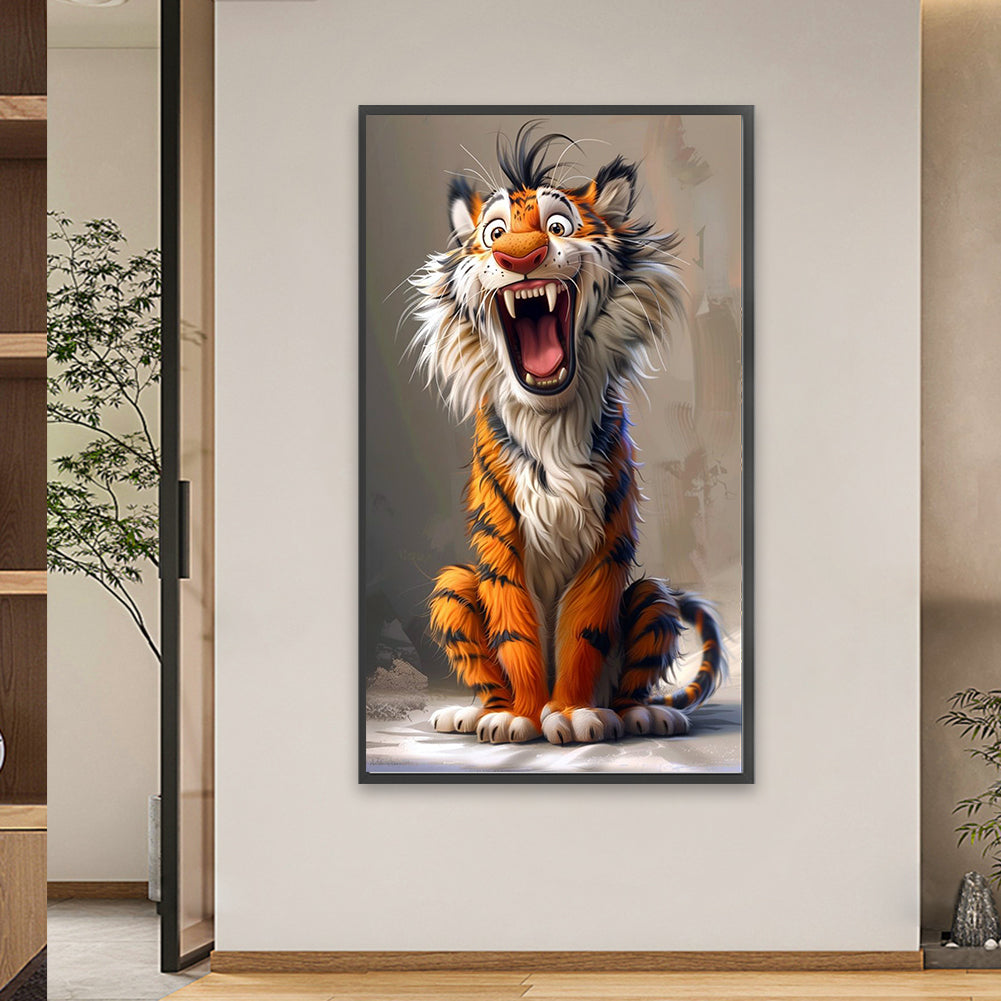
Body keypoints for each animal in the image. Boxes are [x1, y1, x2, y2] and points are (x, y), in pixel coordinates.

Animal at [406, 123, 728, 745]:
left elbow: (582, 632)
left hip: (653, 598)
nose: (520, 255)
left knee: (635, 670)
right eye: (494, 233)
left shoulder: (608, 539)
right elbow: (517, 633)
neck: (549, 418)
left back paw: (642, 715)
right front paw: (520, 717)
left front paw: (575, 714)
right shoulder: (501, 539)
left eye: (559, 226)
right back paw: (474, 714)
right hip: (453, 584)